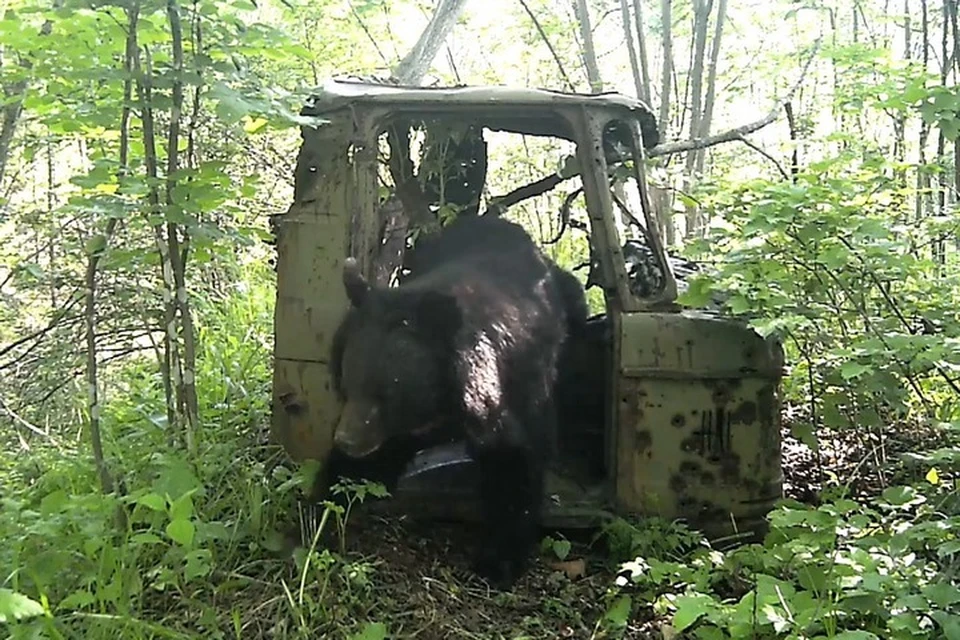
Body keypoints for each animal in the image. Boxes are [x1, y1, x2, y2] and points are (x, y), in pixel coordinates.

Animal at [322, 215, 572, 592]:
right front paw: (322, 508)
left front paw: (498, 561)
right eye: (347, 381)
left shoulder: (502, 391)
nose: (347, 441)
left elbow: (514, 461)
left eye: (386, 393)